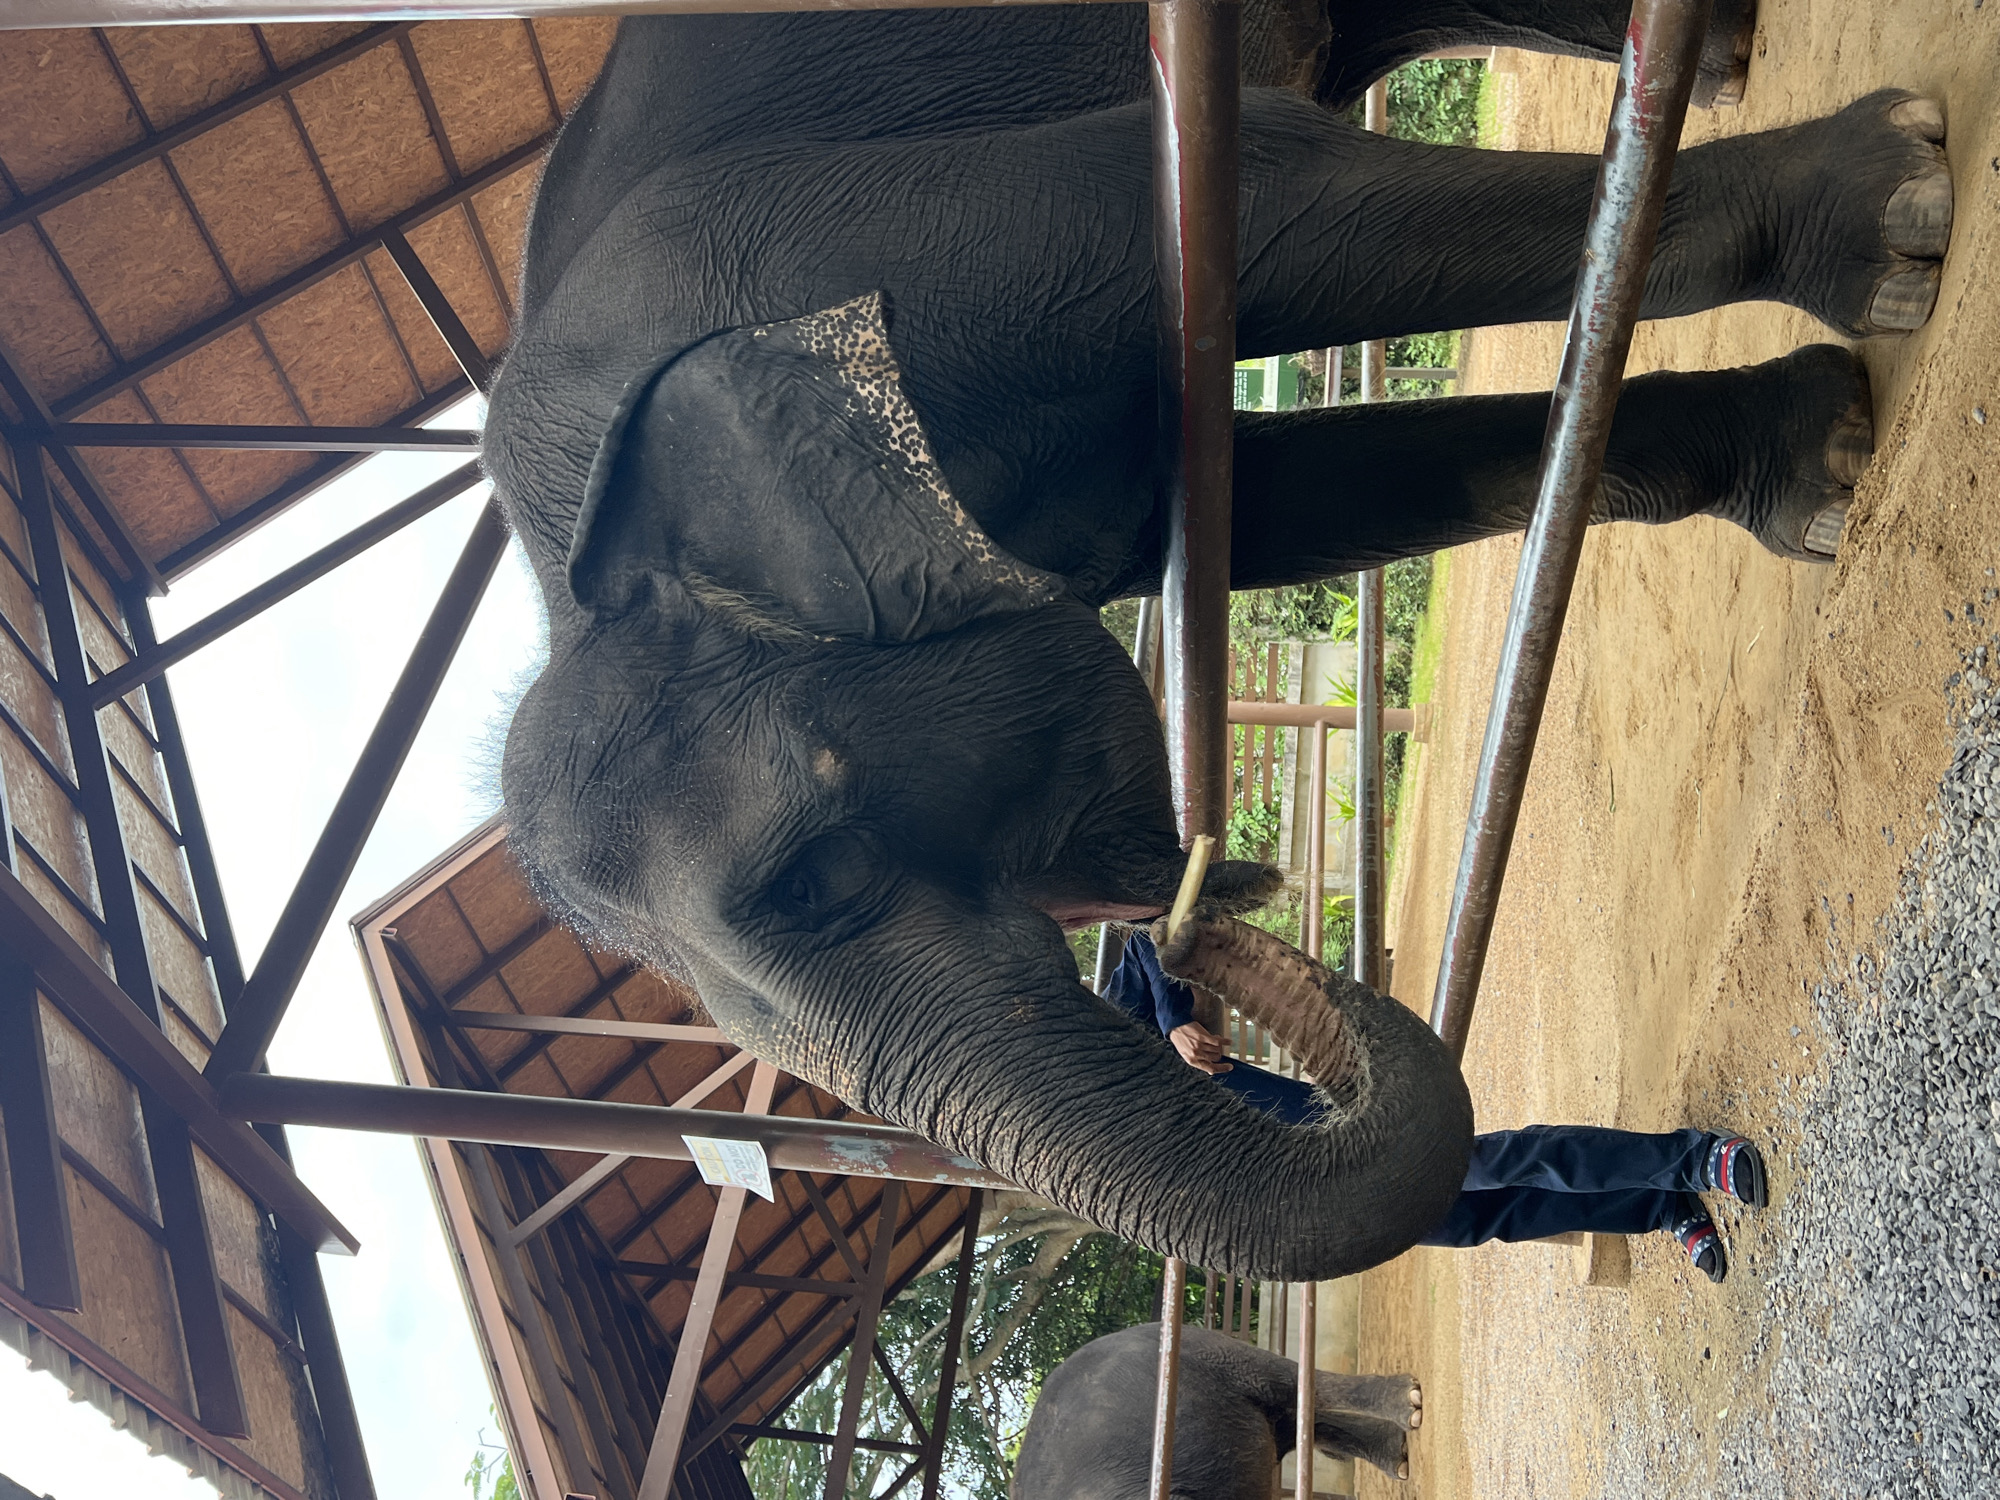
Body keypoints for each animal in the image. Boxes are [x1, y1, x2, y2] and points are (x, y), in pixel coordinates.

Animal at [487, 0, 1954, 1280]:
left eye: (820, 878)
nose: (1194, 911)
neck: (570, 582)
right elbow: (1285, 500)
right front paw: (1822, 463)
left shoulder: (850, 233)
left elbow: (1273, 187)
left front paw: (1892, 222)